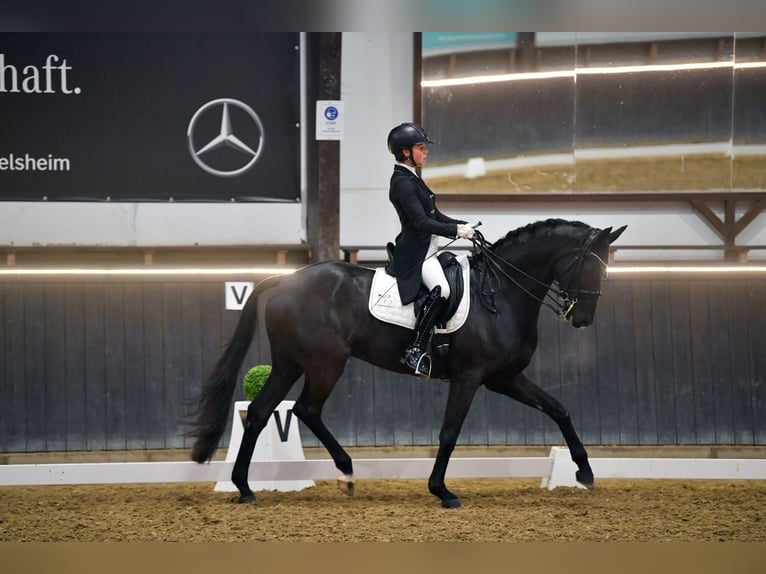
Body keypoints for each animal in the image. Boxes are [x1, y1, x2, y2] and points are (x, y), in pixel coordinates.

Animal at [189, 219, 628, 508]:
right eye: (592, 265)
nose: (582, 319)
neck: (500, 293)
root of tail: (285, 279)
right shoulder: (469, 377)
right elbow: (449, 432)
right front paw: (442, 491)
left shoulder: (504, 377)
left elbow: (558, 408)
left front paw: (584, 472)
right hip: (325, 364)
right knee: (304, 409)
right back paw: (344, 473)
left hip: (289, 364)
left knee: (262, 412)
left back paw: (246, 488)